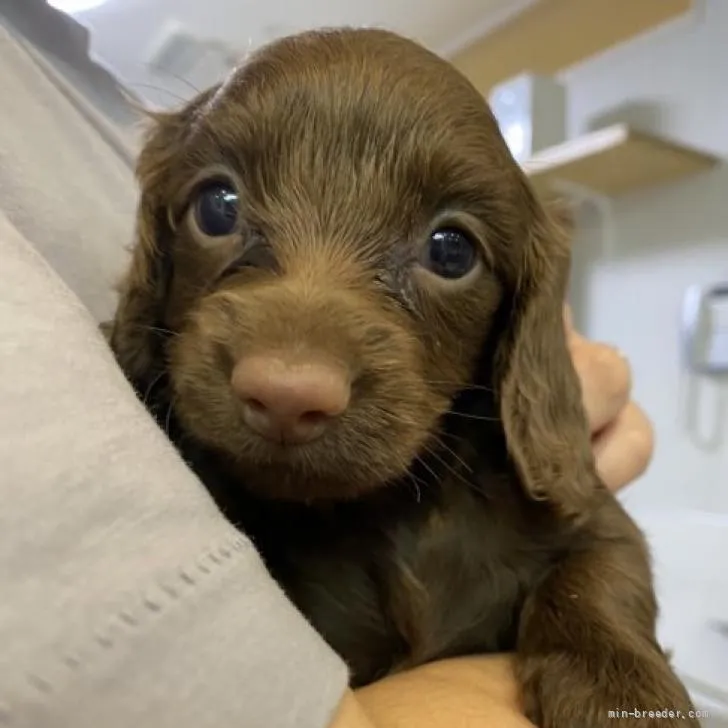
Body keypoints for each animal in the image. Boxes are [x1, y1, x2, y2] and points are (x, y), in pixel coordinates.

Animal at [105, 28, 696, 728]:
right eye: (217, 208)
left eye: (451, 250)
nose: (285, 395)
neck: (395, 506)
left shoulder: (593, 515)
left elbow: (599, 575)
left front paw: (621, 690)